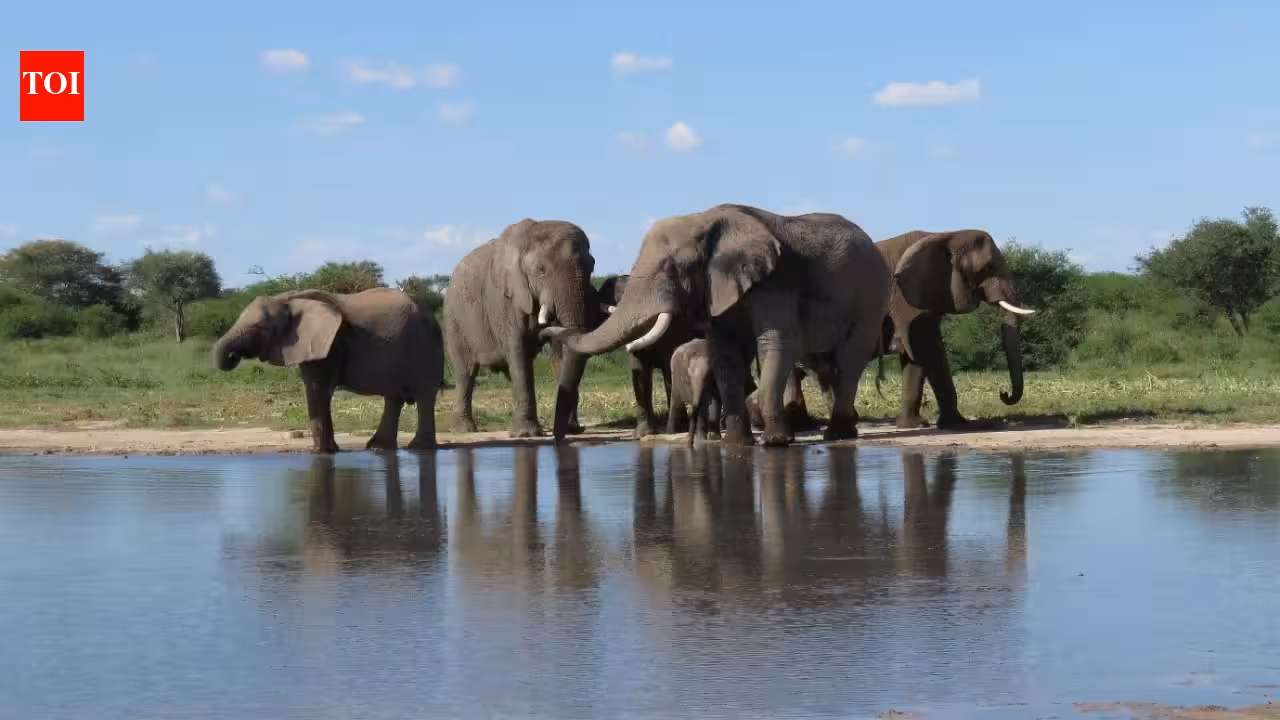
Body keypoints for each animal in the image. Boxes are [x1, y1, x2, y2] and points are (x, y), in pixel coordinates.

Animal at [212, 287, 444, 454]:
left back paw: (418, 448)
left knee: (424, 395)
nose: (233, 356)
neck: (289, 299)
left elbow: (317, 389)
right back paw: (378, 448)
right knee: (394, 397)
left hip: (425, 346)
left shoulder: (329, 345)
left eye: (259, 328)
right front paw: (327, 450)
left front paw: (320, 452)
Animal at [444, 218, 602, 440]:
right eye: (541, 270)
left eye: (591, 268)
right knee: (465, 373)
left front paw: (572, 430)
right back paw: (464, 429)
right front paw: (526, 434)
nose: (560, 433)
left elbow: (560, 351)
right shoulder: (504, 300)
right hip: (455, 320)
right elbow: (517, 348)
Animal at [878, 229, 1035, 429]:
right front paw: (951, 425)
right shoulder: (905, 301)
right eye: (986, 268)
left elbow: (918, 356)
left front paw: (919, 425)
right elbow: (927, 350)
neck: (945, 236)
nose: (1003, 393)